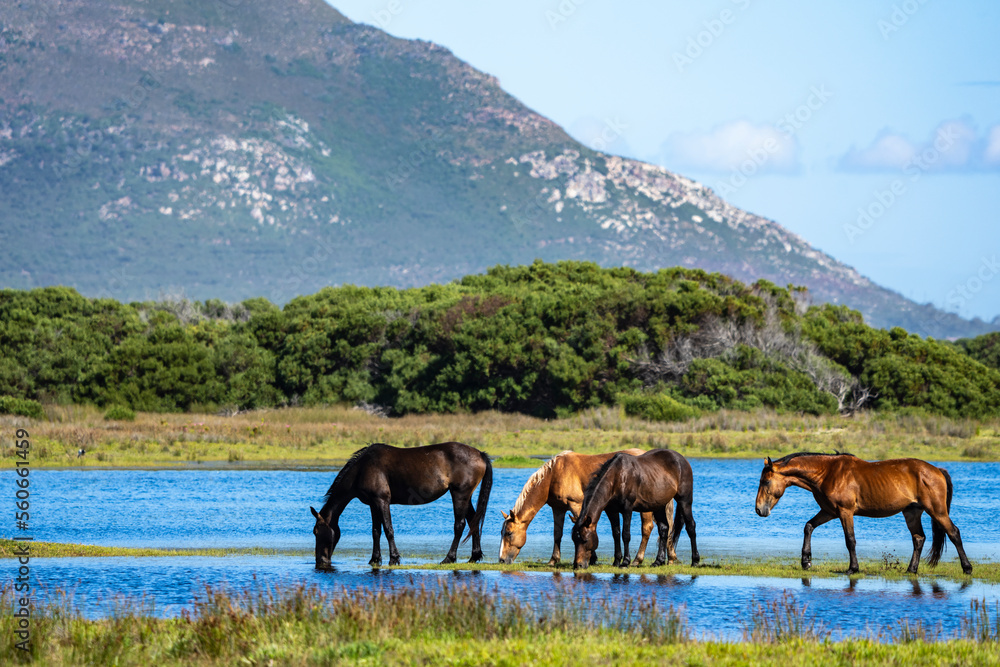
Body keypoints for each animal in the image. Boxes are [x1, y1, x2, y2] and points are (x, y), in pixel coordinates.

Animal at [306, 444, 490, 568]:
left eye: (316, 532)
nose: (321, 560)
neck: (362, 468)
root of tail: (479, 454)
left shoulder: (382, 501)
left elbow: (388, 529)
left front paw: (394, 558)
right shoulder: (373, 504)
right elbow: (376, 531)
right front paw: (374, 559)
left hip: (459, 494)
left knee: (460, 525)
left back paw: (448, 558)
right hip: (466, 497)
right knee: (473, 522)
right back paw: (474, 557)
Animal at [498, 452, 672, 568]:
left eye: (509, 533)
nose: (501, 560)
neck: (555, 474)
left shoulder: (576, 505)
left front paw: (591, 558)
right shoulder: (558, 508)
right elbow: (557, 534)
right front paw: (553, 560)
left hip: (646, 508)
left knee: (647, 529)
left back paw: (637, 560)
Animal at [752, 452, 972, 576]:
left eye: (766, 481)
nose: (759, 509)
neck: (827, 473)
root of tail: (937, 470)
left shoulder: (845, 512)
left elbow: (850, 540)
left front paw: (852, 569)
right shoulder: (829, 511)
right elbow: (808, 526)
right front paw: (806, 561)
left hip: (937, 511)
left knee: (954, 533)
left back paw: (967, 568)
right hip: (911, 513)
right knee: (919, 539)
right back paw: (911, 570)